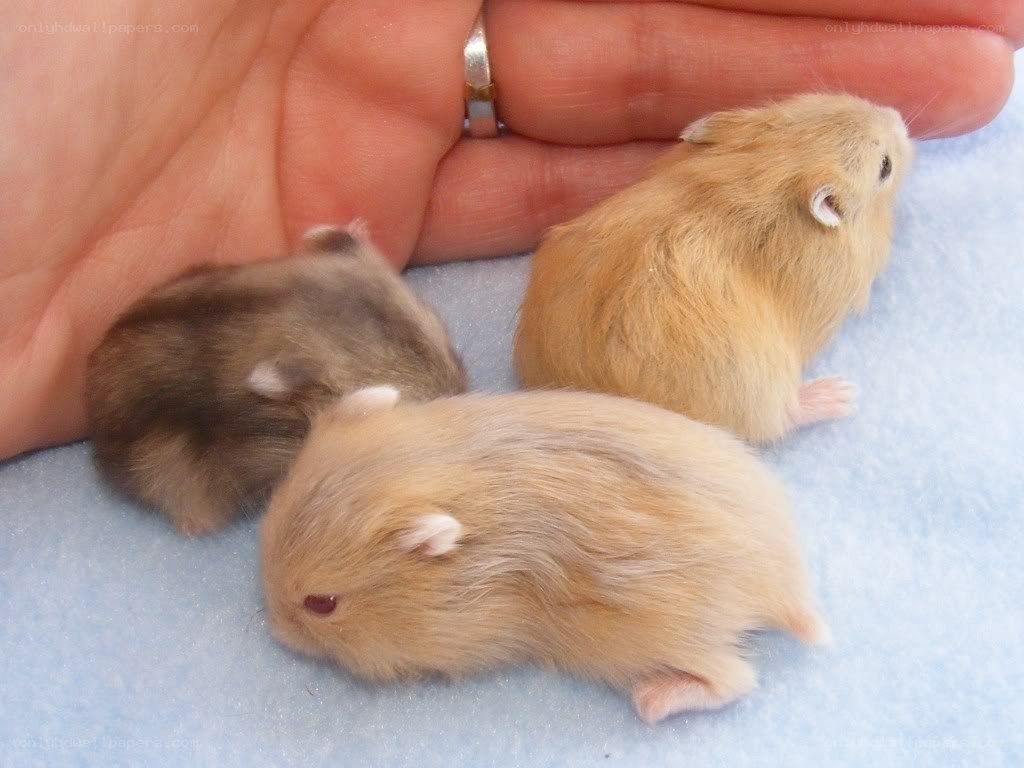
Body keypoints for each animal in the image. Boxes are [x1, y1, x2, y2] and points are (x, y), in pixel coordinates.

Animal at [261, 386, 829, 724]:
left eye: (321, 604)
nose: (275, 633)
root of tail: (786, 586)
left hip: (674, 640)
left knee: (737, 680)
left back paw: (651, 699)